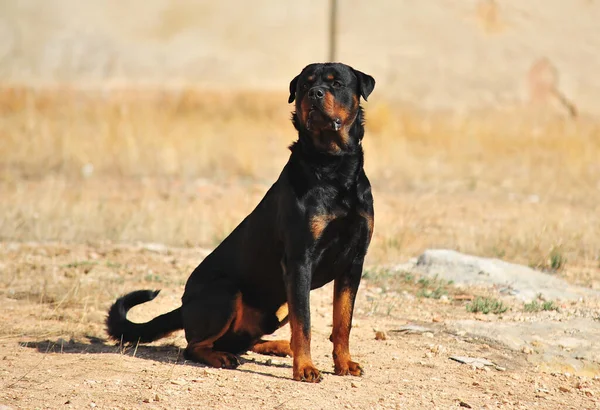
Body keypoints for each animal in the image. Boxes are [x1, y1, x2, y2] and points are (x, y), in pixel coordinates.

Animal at [105, 62, 372, 382]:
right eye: (306, 85)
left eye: (336, 83)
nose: (315, 93)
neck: (334, 167)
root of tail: (183, 306)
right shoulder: (300, 260)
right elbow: (305, 322)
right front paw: (306, 368)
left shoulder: (353, 261)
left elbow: (343, 321)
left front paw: (344, 363)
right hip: (227, 292)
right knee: (195, 346)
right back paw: (223, 357)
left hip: (277, 306)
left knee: (246, 339)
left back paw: (279, 346)